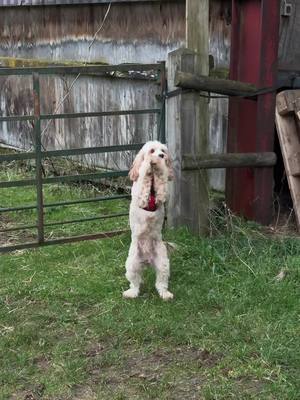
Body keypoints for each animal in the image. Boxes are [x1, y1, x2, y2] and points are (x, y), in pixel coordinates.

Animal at [122, 141, 173, 300]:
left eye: (163, 151)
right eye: (152, 151)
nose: (161, 156)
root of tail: (147, 260)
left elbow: (162, 185)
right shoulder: (140, 192)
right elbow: (144, 180)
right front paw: (147, 168)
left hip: (163, 264)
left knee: (161, 283)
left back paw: (165, 295)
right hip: (132, 264)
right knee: (135, 283)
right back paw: (131, 293)